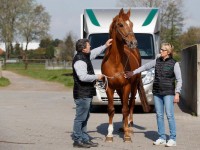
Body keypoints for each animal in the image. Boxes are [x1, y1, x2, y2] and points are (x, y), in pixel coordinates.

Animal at [101, 8, 150, 143]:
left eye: (132, 24)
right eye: (121, 24)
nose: (133, 42)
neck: (115, 62)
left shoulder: (127, 86)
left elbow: (125, 109)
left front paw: (127, 136)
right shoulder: (109, 87)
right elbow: (112, 110)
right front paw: (109, 135)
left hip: (133, 87)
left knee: (130, 105)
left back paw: (130, 127)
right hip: (119, 89)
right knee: (124, 104)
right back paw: (124, 126)